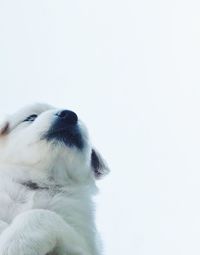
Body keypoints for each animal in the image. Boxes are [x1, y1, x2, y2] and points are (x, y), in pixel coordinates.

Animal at [0, 103, 108, 255]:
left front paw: (13, 245)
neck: (38, 184)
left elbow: (42, 214)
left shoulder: (83, 245)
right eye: (31, 117)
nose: (69, 115)